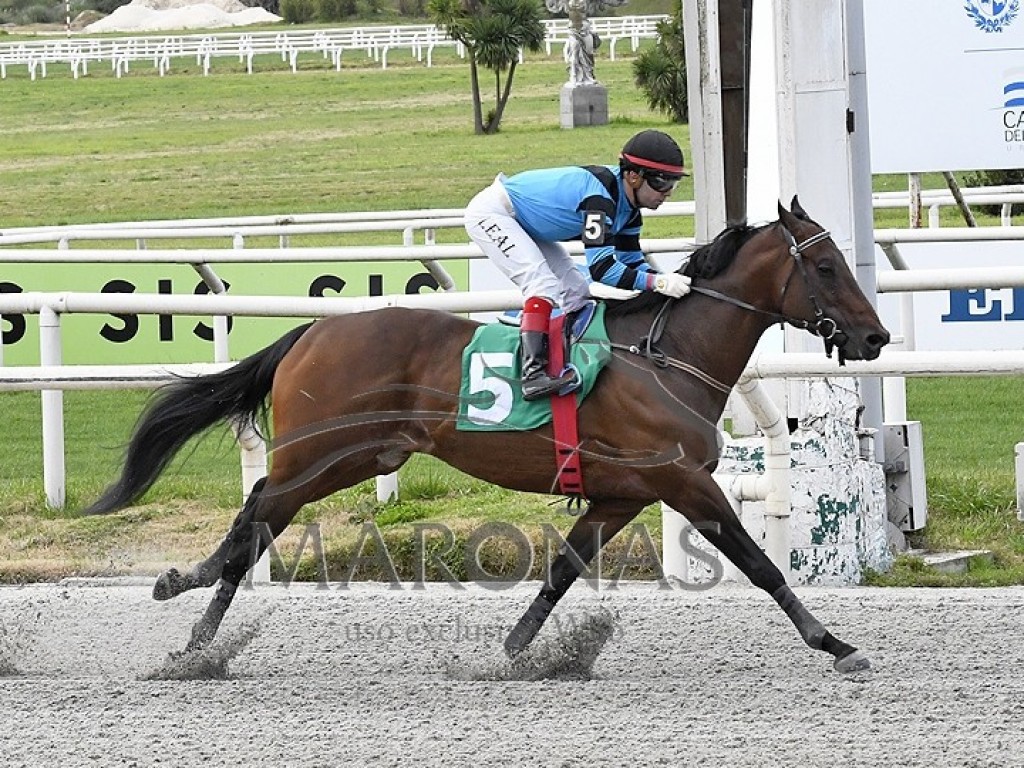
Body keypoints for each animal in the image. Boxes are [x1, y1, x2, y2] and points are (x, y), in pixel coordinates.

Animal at [83, 198, 888, 671]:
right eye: (824, 265)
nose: (876, 336)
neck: (666, 355)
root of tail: (312, 331)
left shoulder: (623, 494)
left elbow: (562, 571)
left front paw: (515, 649)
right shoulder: (684, 481)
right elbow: (761, 565)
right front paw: (835, 643)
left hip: (355, 455)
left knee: (257, 511)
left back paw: (187, 602)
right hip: (323, 453)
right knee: (259, 514)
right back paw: (195, 630)